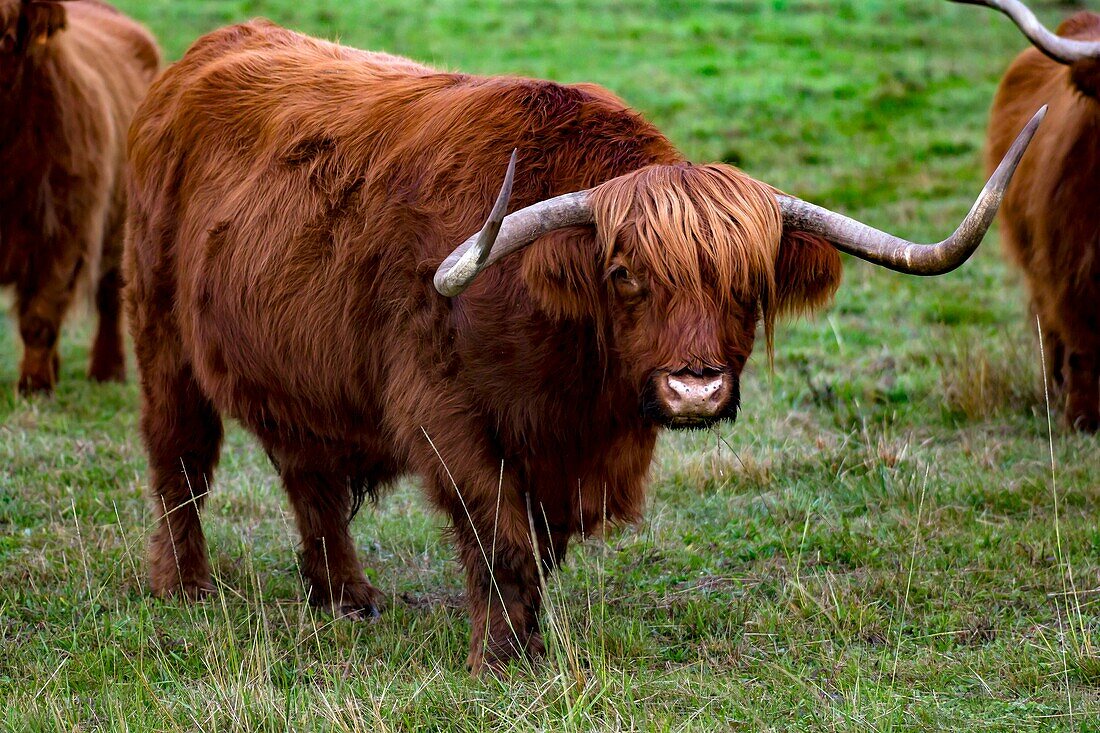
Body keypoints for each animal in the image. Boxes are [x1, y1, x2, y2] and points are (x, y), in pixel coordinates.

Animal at [0, 1, 160, 394]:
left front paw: (34, 386)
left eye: (5, 39)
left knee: (110, 295)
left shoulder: (63, 228)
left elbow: (39, 316)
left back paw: (107, 370)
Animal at [124, 19, 1042, 669]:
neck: (571, 378)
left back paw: (344, 595)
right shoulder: (444, 411)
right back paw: (186, 587)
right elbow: (498, 532)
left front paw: (527, 635)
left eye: (747, 283)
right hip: (161, 338)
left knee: (307, 475)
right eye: (626, 274)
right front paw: (501, 656)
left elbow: (539, 538)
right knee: (180, 461)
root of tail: (204, 52)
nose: (696, 387)